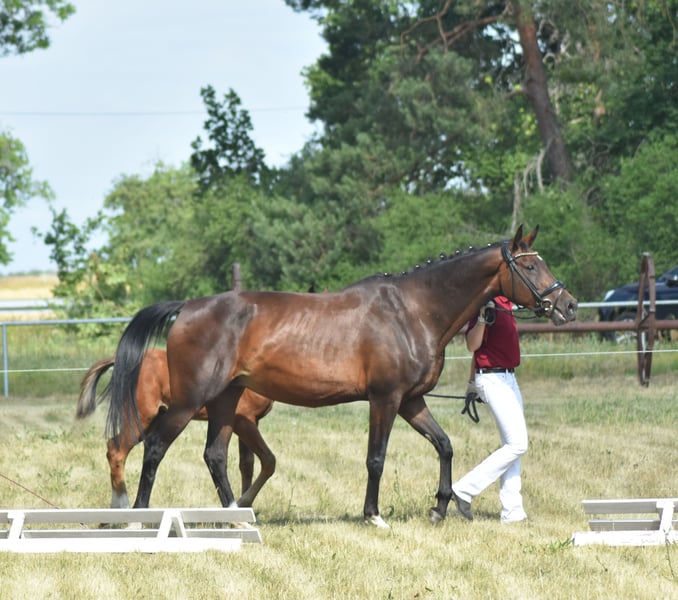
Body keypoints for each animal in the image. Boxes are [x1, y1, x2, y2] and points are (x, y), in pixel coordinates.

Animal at [77, 348, 275, 508]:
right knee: (116, 450)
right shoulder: (243, 420)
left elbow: (247, 464)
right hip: (141, 417)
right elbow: (268, 460)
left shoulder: (251, 421)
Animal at [105, 225, 577, 528]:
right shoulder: (385, 399)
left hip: (224, 400)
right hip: (188, 401)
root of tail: (187, 307)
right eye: (529, 268)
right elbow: (376, 458)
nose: (567, 306)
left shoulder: (411, 400)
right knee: (154, 448)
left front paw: (440, 508)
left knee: (214, 456)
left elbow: (444, 445)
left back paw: (237, 519)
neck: (413, 311)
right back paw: (142, 519)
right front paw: (374, 515)